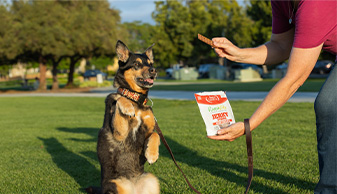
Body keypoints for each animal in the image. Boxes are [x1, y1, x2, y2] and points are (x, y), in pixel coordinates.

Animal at [86, 39, 160, 194]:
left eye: (151, 63)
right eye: (136, 64)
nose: (154, 70)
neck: (136, 99)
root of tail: (134, 188)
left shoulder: (148, 131)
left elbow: (155, 134)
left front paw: (152, 154)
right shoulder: (120, 133)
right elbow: (119, 96)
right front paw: (127, 107)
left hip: (151, 179)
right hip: (116, 184)